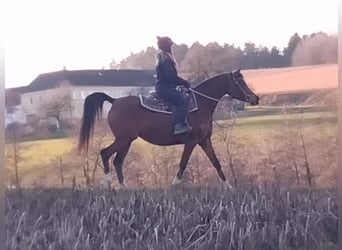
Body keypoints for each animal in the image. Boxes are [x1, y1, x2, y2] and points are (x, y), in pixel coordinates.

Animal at [77, 69, 260, 188]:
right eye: (239, 81)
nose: (255, 98)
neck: (201, 104)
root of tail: (114, 101)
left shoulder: (204, 140)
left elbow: (216, 163)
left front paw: (228, 186)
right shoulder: (191, 141)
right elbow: (183, 163)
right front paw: (174, 184)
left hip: (126, 141)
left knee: (117, 161)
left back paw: (123, 187)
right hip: (124, 139)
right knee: (105, 153)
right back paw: (109, 183)